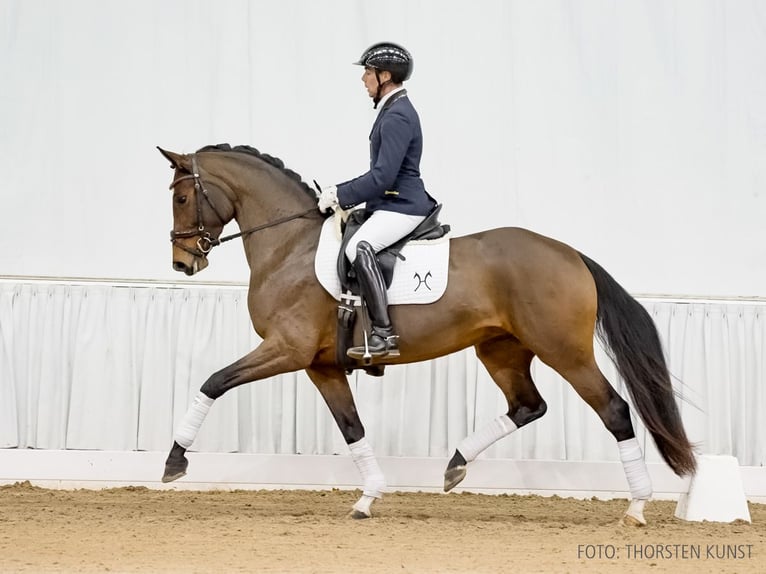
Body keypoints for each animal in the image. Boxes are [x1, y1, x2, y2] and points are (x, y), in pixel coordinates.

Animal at [159, 144, 700, 528]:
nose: (183, 263)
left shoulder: (286, 350)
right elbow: (352, 428)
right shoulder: (321, 365)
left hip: (565, 352)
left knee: (614, 410)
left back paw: (636, 508)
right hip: (500, 350)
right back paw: (455, 465)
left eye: (182, 198)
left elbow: (213, 381)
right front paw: (368, 498)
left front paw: (174, 461)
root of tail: (571, 255)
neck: (291, 247)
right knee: (528, 406)